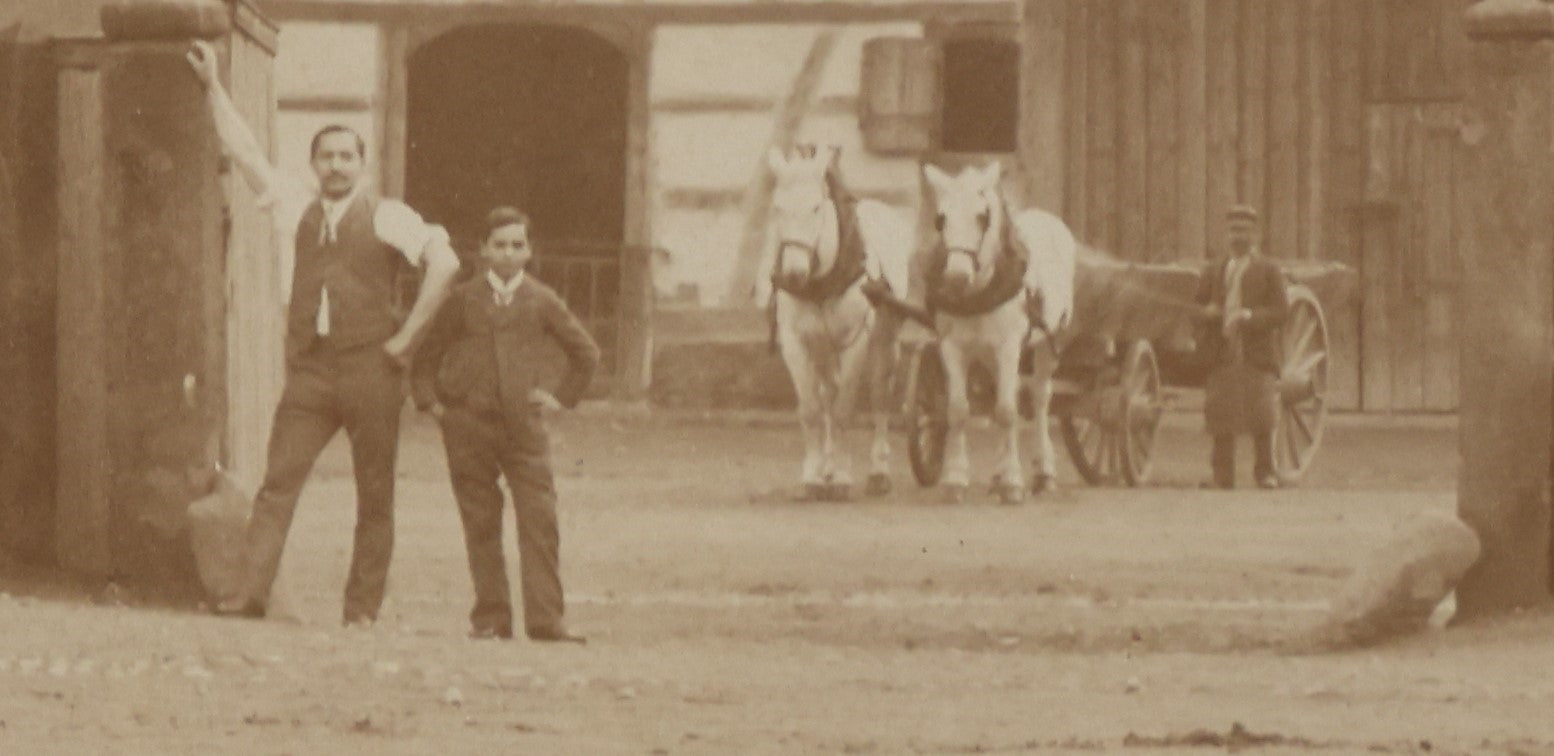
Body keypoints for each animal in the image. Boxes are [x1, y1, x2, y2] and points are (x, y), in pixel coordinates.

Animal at [761, 146, 907, 500]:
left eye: (816, 207)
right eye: (777, 207)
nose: (793, 273)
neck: (821, 282)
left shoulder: (855, 341)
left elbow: (843, 409)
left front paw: (841, 476)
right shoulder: (795, 344)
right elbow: (813, 409)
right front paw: (814, 475)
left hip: (886, 340)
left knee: (880, 394)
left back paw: (878, 471)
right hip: (823, 350)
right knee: (828, 392)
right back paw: (827, 465)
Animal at [913, 161, 1075, 500]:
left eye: (982, 216)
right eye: (941, 218)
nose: (956, 276)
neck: (979, 293)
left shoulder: (1009, 346)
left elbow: (1005, 411)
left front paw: (1013, 481)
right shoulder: (952, 346)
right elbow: (958, 410)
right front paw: (956, 478)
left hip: (1048, 344)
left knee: (1040, 398)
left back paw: (1043, 472)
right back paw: (999, 474)